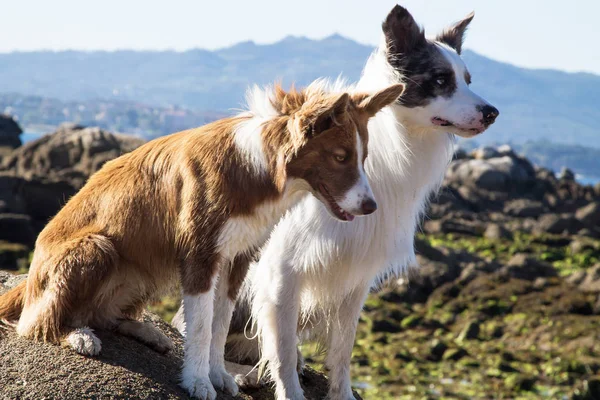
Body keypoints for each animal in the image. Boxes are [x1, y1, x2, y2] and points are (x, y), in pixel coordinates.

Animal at [1, 79, 404, 398]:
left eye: (362, 157)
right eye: (340, 157)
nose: (371, 207)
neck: (258, 168)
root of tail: (30, 276)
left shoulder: (237, 258)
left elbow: (219, 323)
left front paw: (218, 375)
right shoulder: (199, 255)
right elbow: (199, 325)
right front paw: (197, 382)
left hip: (146, 267)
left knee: (105, 314)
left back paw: (147, 332)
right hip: (99, 248)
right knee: (34, 323)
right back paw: (76, 335)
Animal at [176, 3, 500, 400]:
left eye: (467, 79)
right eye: (440, 80)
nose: (491, 112)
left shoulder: (356, 273)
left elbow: (343, 348)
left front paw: (340, 393)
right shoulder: (283, 270)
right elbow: (282, 348)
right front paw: (289, 390)